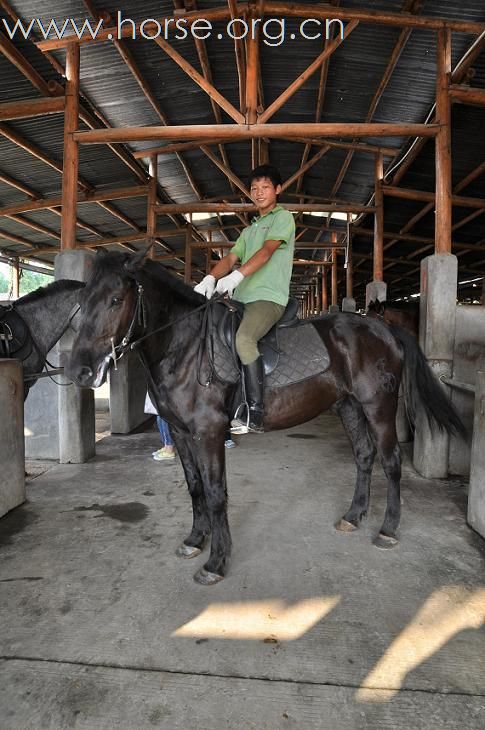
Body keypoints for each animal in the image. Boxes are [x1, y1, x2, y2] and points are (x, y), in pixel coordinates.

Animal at [65, 253, 466, 584]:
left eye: (116, 300)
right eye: (82, 302)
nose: (80, 372)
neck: (185, 347)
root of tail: (384, 330)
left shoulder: (209, 432)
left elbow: (216, 492)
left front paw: (216, 562)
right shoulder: (180, 432)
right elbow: (194, 486)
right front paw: (195, 539)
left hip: (378, 406)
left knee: (391, 461)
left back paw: (387, 530)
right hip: (348, 405)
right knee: (364, 456)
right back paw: (353, 516)